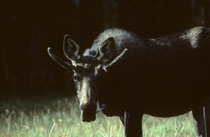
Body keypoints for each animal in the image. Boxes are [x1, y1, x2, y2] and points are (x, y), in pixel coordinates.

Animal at [47, 26, 210, 136]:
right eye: (75, 77)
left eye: (101, 77)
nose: (87, 110)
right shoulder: (122, 112)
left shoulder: (134, 109)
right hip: (197, 104)